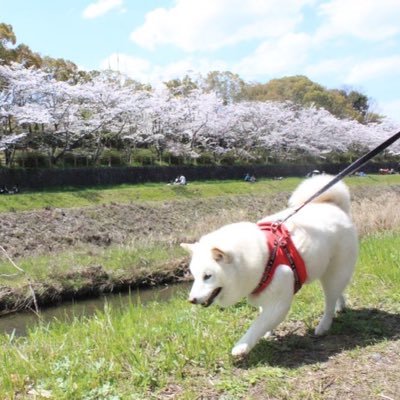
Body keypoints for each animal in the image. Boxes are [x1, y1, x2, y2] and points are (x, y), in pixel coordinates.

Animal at [181, 175, 360, 356]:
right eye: (194, 277)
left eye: (207, 276)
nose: (191, 300)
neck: (265, 257)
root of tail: (334, 206)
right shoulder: (264, 293)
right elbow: (263, 316)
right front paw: (268, 332)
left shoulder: (279, 301)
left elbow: (258, 324)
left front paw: (242, 345)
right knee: (337, 291)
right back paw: (340, 305)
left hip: (334, 271)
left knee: (329, 300)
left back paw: (324, 325)